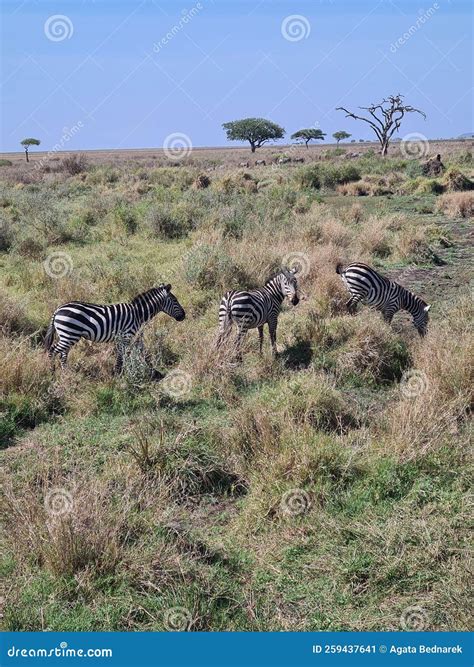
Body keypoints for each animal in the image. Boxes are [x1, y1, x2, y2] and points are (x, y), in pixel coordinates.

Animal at [44, 284, 185, 372]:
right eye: (175, 301)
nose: (184, 316)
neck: (137, 314)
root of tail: (58, 310)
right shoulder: (126, 336)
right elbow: (121, 355)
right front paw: (119, 372)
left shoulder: (129, 337)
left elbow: (136, 351)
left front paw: (146, 368)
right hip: (69, 334)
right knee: (53, 350)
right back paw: (52, 372)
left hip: (67, 336)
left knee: (63, 354)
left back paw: (66, 372)